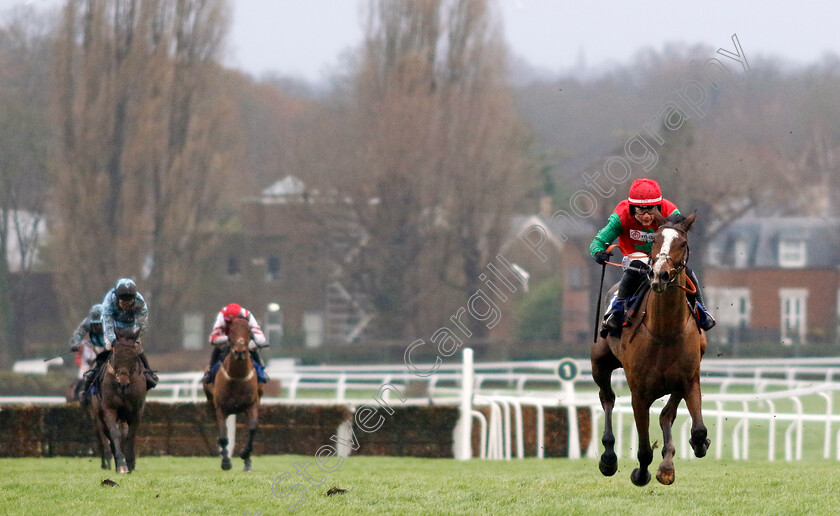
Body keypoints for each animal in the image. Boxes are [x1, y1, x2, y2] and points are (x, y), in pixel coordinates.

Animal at [90, 328, 148, 474]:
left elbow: (130, 435)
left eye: (134, 355)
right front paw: (121, 465)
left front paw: (130, 463)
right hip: (99, 416)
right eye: (115, 354)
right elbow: (114, 434)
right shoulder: (109, 408)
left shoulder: (137, 411)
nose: (122, 384)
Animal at [203, 316, 262, 470]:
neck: (237, 377)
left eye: (249, 331)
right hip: (212, 403)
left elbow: (252, 428)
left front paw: (245, 455)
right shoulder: (221, 408)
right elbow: (223, 437)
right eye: (231, 332)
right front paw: (225, 462)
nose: (240, 351)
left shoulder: (252, 404)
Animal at [592, 212, 708, 486]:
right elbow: (644, 449)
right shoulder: (639, 393)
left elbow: (696, 428)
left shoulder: (689, 379)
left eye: (683, 243)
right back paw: (608, 457)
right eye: (655, 240)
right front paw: (640, 473)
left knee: (666, 414)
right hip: (599, 364)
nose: (660, 275)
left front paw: (689, 451)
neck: (665, 332)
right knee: (607, 398)